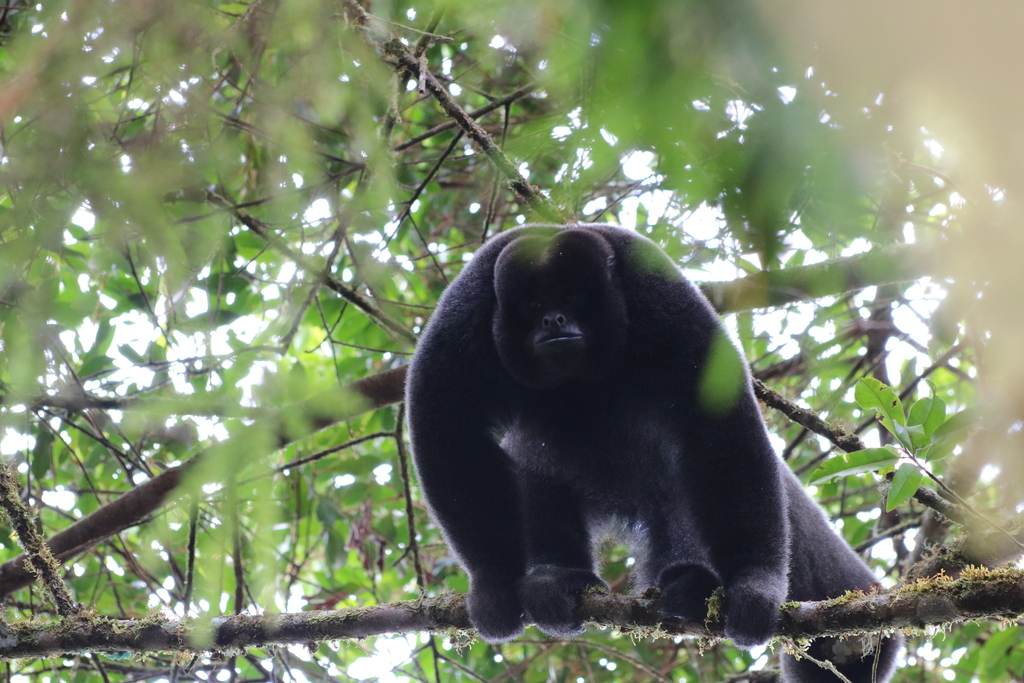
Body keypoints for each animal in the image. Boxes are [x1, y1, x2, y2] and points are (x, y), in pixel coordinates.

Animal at [403, 225, 901, 683]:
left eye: (572, 295)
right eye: (531, 304)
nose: (554, 319)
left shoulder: (657, 292)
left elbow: (717, 420)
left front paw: (755, 584)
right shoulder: (465, 311)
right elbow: (446, 425)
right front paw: (493, 581)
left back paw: (692, 583)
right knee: (536, 471)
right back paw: (558, 579)